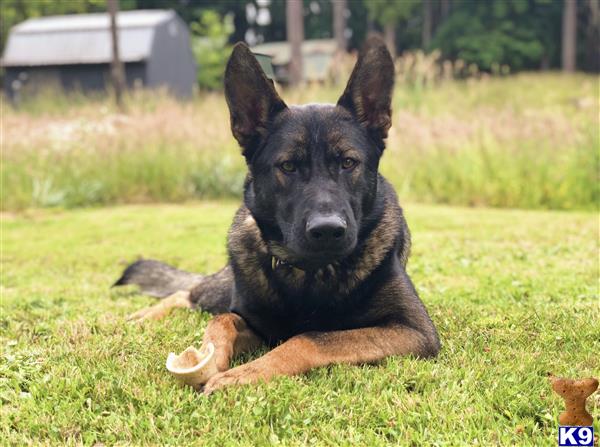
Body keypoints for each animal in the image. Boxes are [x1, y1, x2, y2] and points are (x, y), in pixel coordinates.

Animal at [113, 38, 440, 396]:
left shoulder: (413, 330)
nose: (328, 230)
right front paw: (212, 356)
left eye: (348, 163)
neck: (311, 275)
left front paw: (243, 373)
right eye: (288, 166)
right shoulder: (253, 320)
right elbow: (222, 320)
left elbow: (309, 337)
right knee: (188, 293)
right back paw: (141, 316)